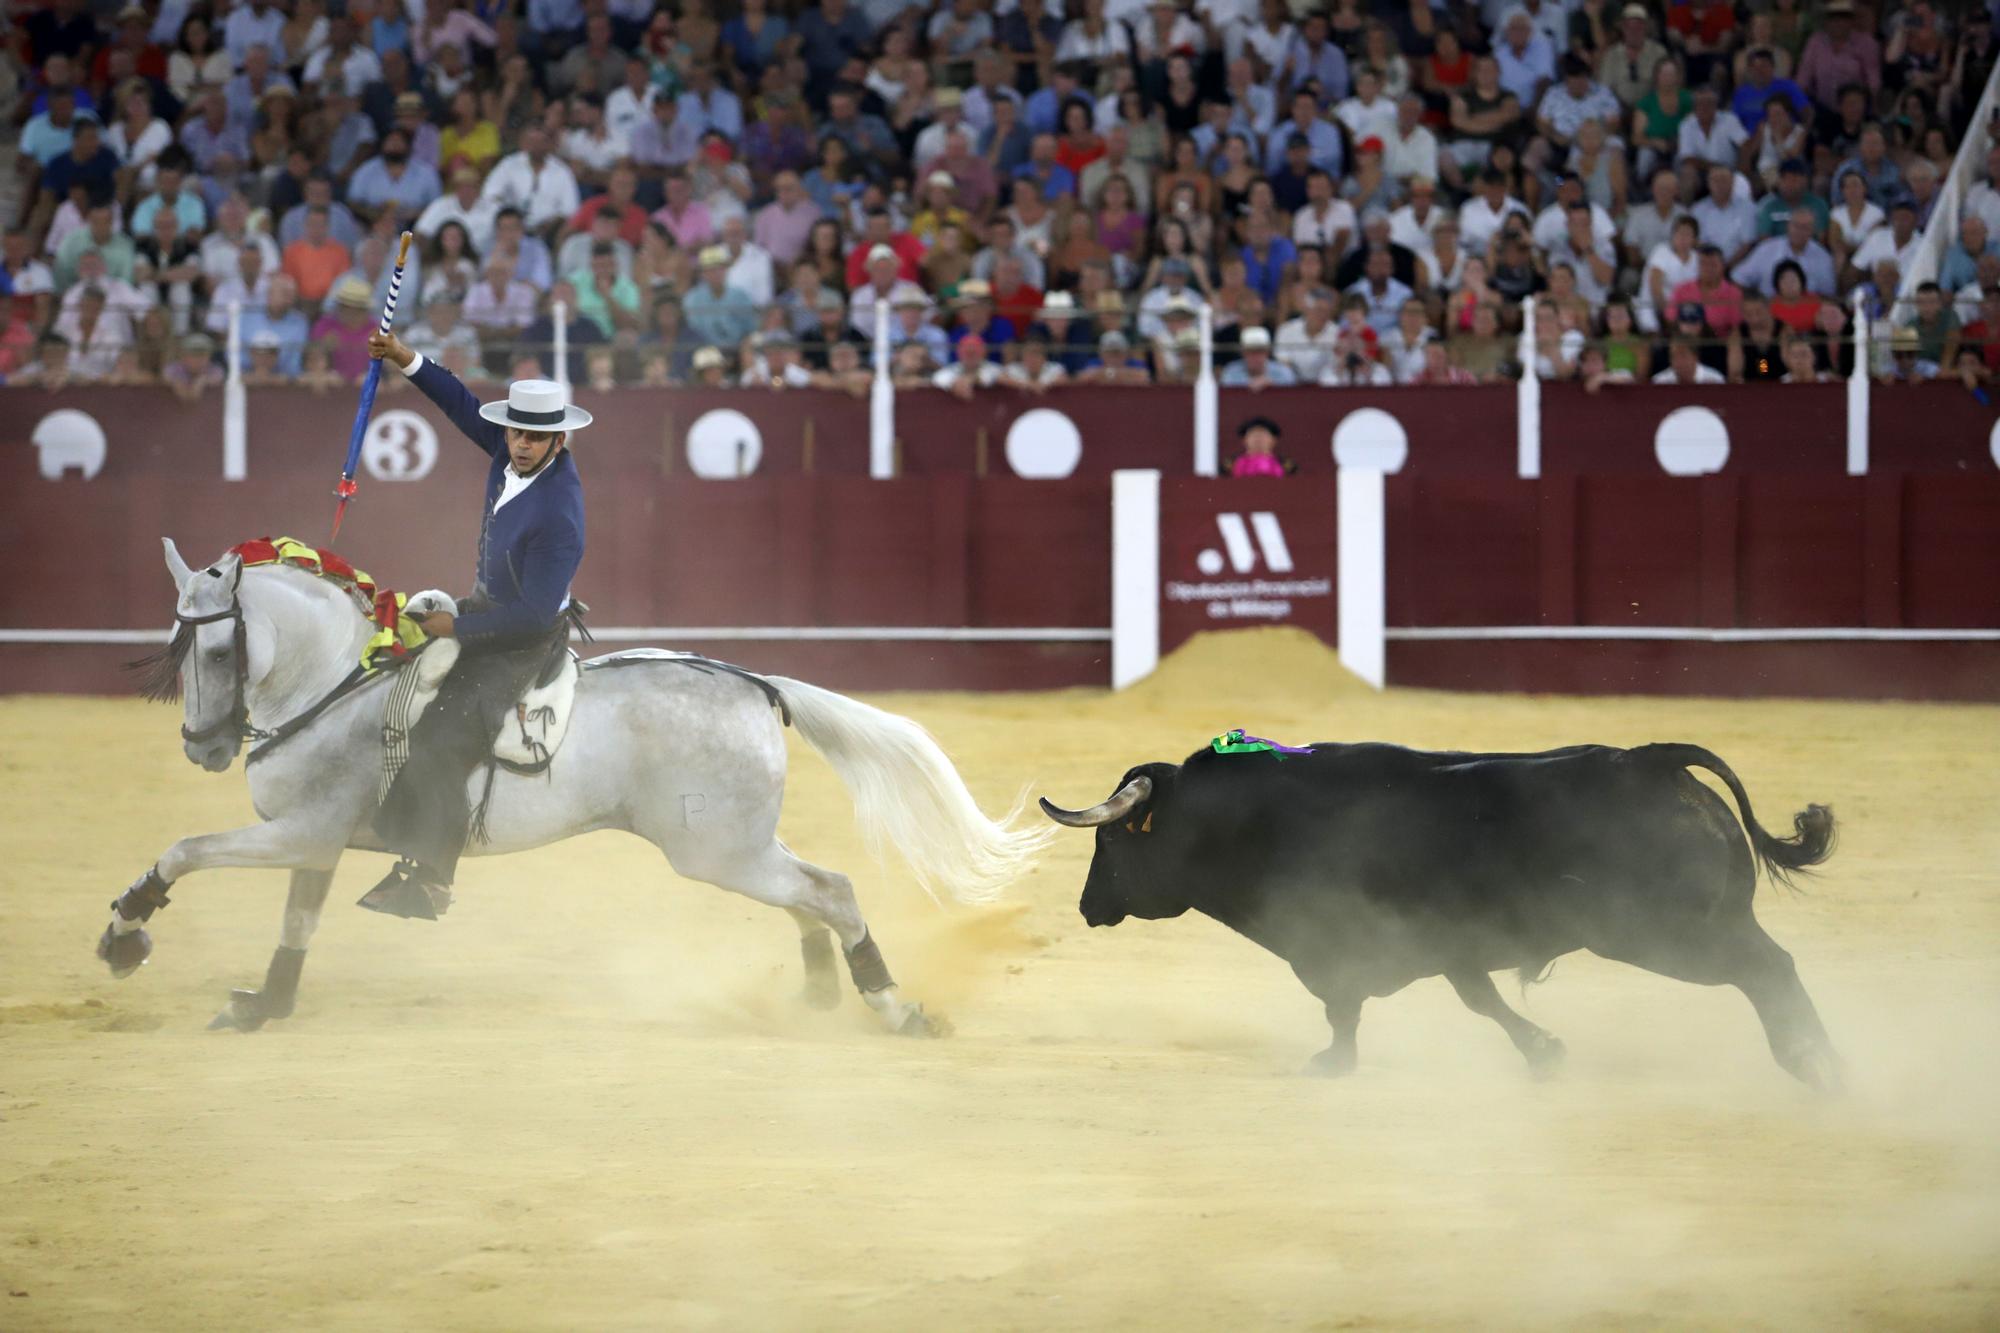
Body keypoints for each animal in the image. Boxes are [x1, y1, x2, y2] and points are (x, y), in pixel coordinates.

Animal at [103, 536, 1056, 1024]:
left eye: (215, 652)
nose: (201, 747)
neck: (341, 679)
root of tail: (759, 683)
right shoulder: (319, 839)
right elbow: (296, 922)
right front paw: (265, 1002)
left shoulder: (298, 831)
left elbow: (185, 847)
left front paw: (124, 932)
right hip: (738, 842)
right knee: (812, 889)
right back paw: (822, 988)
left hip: (715, 851)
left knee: (834, 888)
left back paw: (890, 1002)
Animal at [1048, 736, 1840, 1088]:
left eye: (1112, 838)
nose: (1087, 906)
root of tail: (1648, 759)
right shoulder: (1451, 950)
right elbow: (1480, 999)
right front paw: (1543, 1051)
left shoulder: (1338, 947)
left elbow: (1346, 1009)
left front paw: (1331, 1064)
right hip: (1704, 924)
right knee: (1774, 967)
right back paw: (1819, 1061)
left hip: (1667, 933)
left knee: (1767, 968)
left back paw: (1816, 1067)